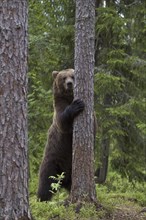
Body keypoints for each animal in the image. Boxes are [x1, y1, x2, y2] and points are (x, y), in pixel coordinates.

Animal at [37, 68, 84, 201]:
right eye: (64, 78)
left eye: (72, 76)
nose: (69, 84)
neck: (69, 98)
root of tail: (64, 179)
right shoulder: (59, 107)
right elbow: (62, 121)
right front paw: (76, 104)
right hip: (52, 162)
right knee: (45, 184)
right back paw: (41, 200)